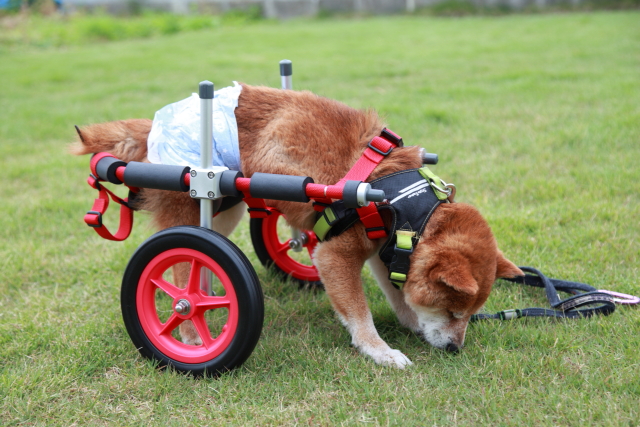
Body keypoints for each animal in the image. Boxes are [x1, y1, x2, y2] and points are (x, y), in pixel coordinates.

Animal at [76, 83, 524, 368]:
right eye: (452, 311)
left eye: (467, 314)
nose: (455, 349)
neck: (401, 202)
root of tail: (151, 128)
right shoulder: (335, 255)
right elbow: (359, 313)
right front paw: (379, 351)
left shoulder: (386, 253)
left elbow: (399, 297)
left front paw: (410, 325)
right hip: (194, 200)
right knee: (182, 269)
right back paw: (189, 335)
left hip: (225, 207)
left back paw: (211, 290)